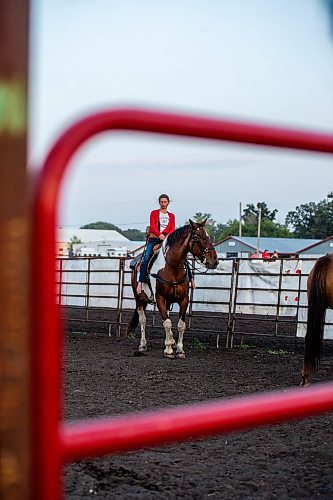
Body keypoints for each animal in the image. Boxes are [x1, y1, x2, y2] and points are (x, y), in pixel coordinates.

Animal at [124, 218, 218, 356]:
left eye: (208, 236)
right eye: (197, 237)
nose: (214, 261)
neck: (172, 268)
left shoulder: (183, 299)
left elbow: (180, 324)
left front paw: (178, 348)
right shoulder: (160, 298)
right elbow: (167, 323)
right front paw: (169, 348)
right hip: (139, 298)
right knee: (143, 320)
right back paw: (143, 345)